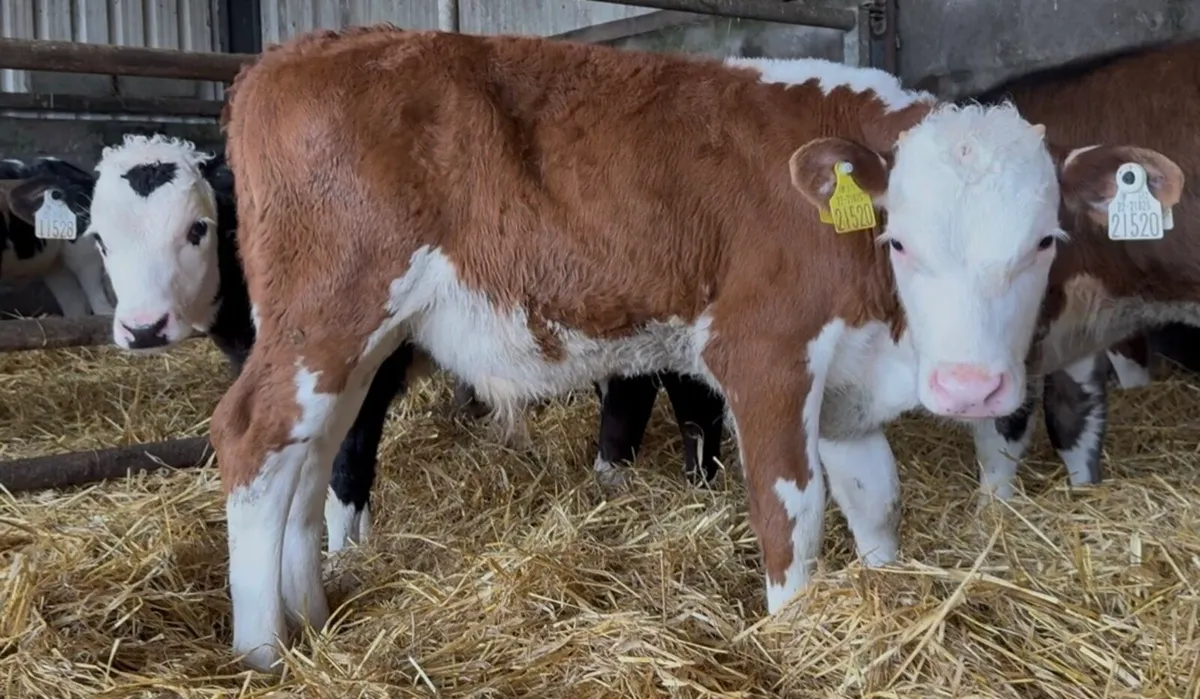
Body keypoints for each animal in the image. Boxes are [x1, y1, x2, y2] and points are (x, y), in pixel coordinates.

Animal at [209, 26, 1179, 671]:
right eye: (901, 240)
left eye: (1046, 240)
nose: (971, 386)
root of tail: (288, 56)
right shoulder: (766, 351)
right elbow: (792, 510)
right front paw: (793, 635)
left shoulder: (849, 384)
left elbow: (877, 500)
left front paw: (884, 596)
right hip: (328, 311)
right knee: (252, 437)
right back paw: (261, 651)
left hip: (353, 343)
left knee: (309, 457)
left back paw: (311, 618)